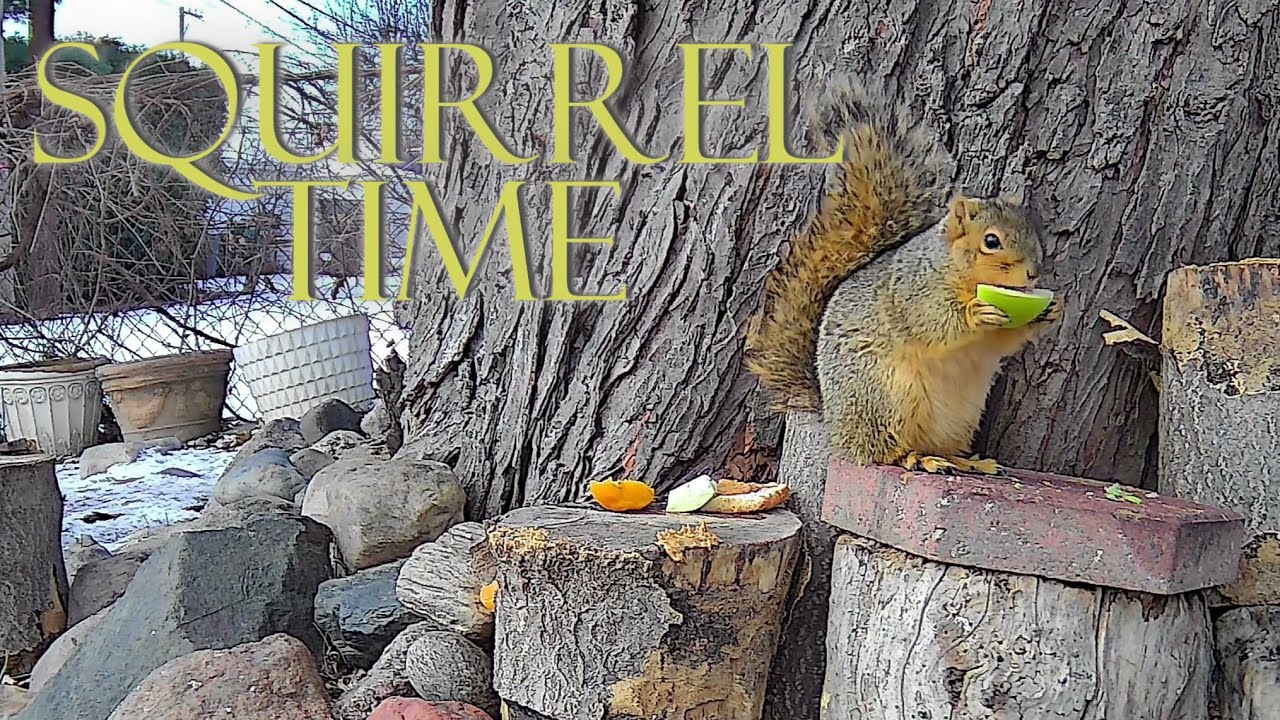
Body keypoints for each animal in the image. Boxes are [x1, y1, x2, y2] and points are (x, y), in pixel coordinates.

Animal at [745, 76, 1061, 475]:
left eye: (1032, 230)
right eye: (991, 241)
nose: (1033, 273)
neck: (958, 271)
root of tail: (835, 421)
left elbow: (1000, 343)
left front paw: (1052, 311)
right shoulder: (914, 289)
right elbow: (933, 322)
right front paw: (975, 313)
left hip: (960, 417)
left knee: (939, 446)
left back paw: (967, 462)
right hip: (887, 397)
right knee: (884, 452)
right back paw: (917, 458)